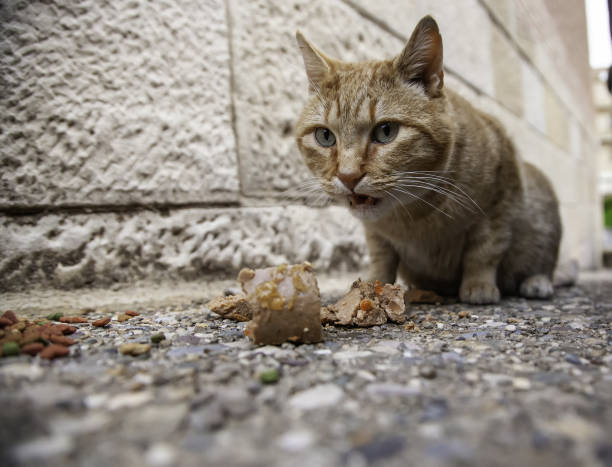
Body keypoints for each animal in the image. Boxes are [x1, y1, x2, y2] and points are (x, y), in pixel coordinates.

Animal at [294, 14, 560, 306]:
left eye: (385, 131)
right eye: (325, 136)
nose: (347, 176)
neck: (412, 216)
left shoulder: (501, 198)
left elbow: (484, 250)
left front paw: (479, 285)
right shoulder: (376, 234)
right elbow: (381, 256)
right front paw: (372, 284)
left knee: (542, 264)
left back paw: (537, 283)